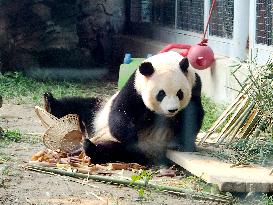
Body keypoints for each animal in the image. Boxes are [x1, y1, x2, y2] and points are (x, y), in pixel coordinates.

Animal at [44, 51, 202, 165]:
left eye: (180, 93)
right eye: (161, 94)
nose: (172, 110)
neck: (166, 60)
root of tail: (95, 133)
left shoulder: (195, 86)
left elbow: (193, 116)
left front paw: (182, 144)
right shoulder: (135, 88)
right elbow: (121, 112)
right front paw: (131, 137)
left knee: (117, 152)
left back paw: (92, 149)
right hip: (98, 112)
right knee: (79, 106)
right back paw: (50, 103)